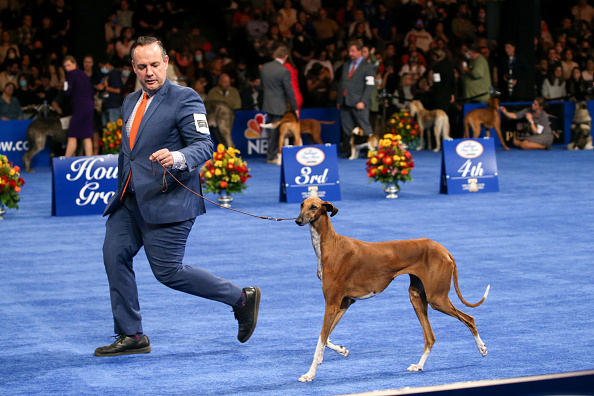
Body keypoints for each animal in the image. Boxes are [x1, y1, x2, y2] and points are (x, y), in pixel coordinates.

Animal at [294, 200, 488, 382]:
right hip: (417, 297)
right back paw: (418, 365)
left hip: (437, 299)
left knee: (469, 318)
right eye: (302, 205)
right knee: (430, 337)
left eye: (313, 207)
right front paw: (342, 350)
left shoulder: (332, 303)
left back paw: (482, 348)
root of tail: (444, 250)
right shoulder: (345, 302)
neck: (330, 245)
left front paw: (309, 374)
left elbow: (320, 342)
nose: (298, 220)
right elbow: (325, 337)